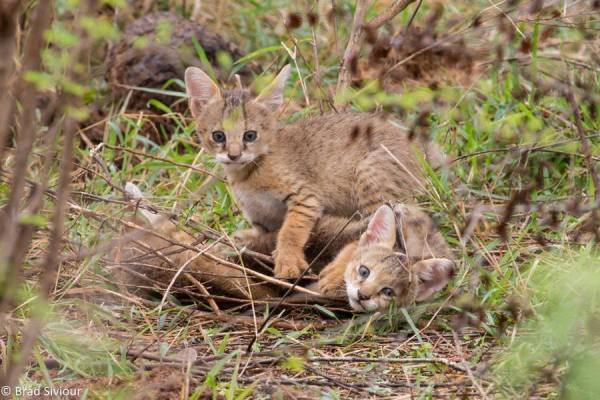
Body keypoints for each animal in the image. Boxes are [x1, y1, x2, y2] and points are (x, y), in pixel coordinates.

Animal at [185, 65, 442, 278]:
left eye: (250, 135)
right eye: (219, 136)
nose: (234, 155)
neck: (247, 175)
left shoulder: (305, 198)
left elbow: (290, 232)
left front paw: (288, 262)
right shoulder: (262, 221)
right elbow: (267, 236)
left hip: (372, 182)